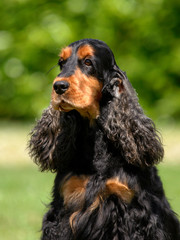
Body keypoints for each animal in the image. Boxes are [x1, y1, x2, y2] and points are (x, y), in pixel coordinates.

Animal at [28, 38, 179, 239]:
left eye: (88, 62)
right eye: (61, 63)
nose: (58, 86)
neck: (95, 141)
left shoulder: (136, 211)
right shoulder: (64, 207)